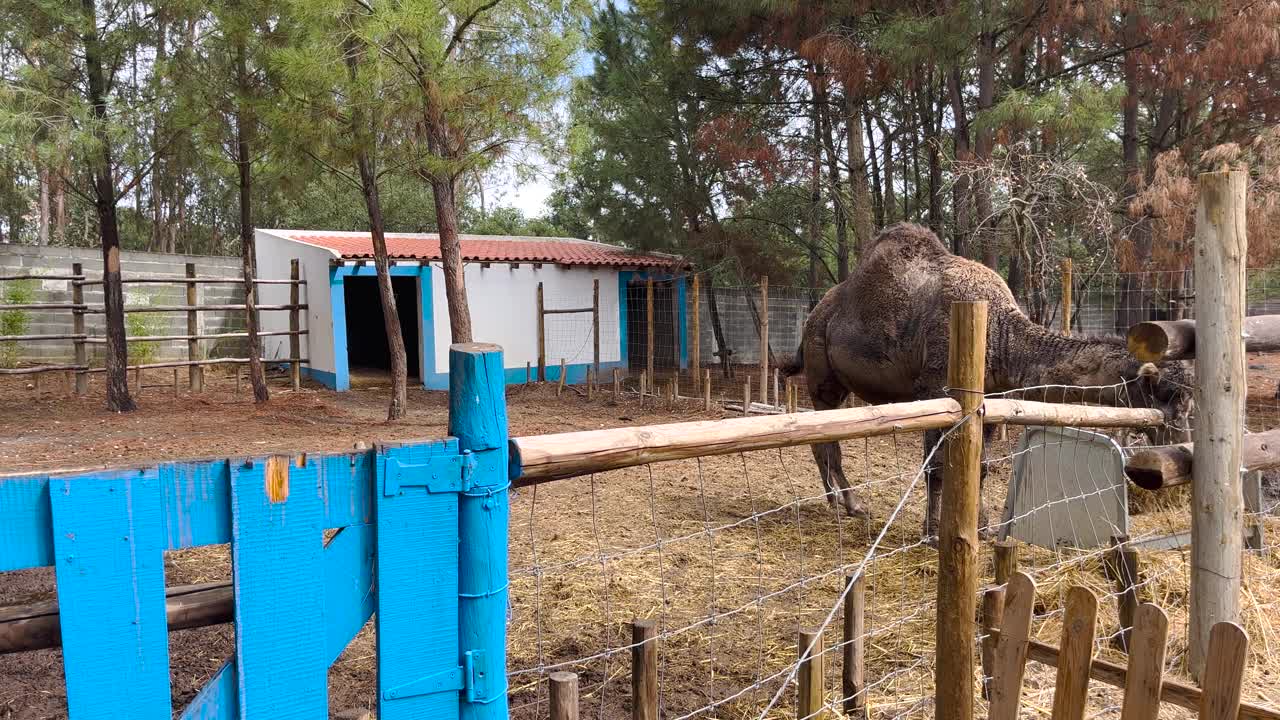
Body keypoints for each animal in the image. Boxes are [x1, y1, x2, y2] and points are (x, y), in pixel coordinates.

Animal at [778, 221, 1187, 535]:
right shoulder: (935, 392)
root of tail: (813, 317)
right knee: (826, 442)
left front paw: (983, 527)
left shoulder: (989, 401)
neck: (1000, 336)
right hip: (822, 378)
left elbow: (983, 468)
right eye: (1168, 395)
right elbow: (936, 468)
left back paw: (838, 500)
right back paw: (849, 503)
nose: (1180, 445)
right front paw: (932, 533)